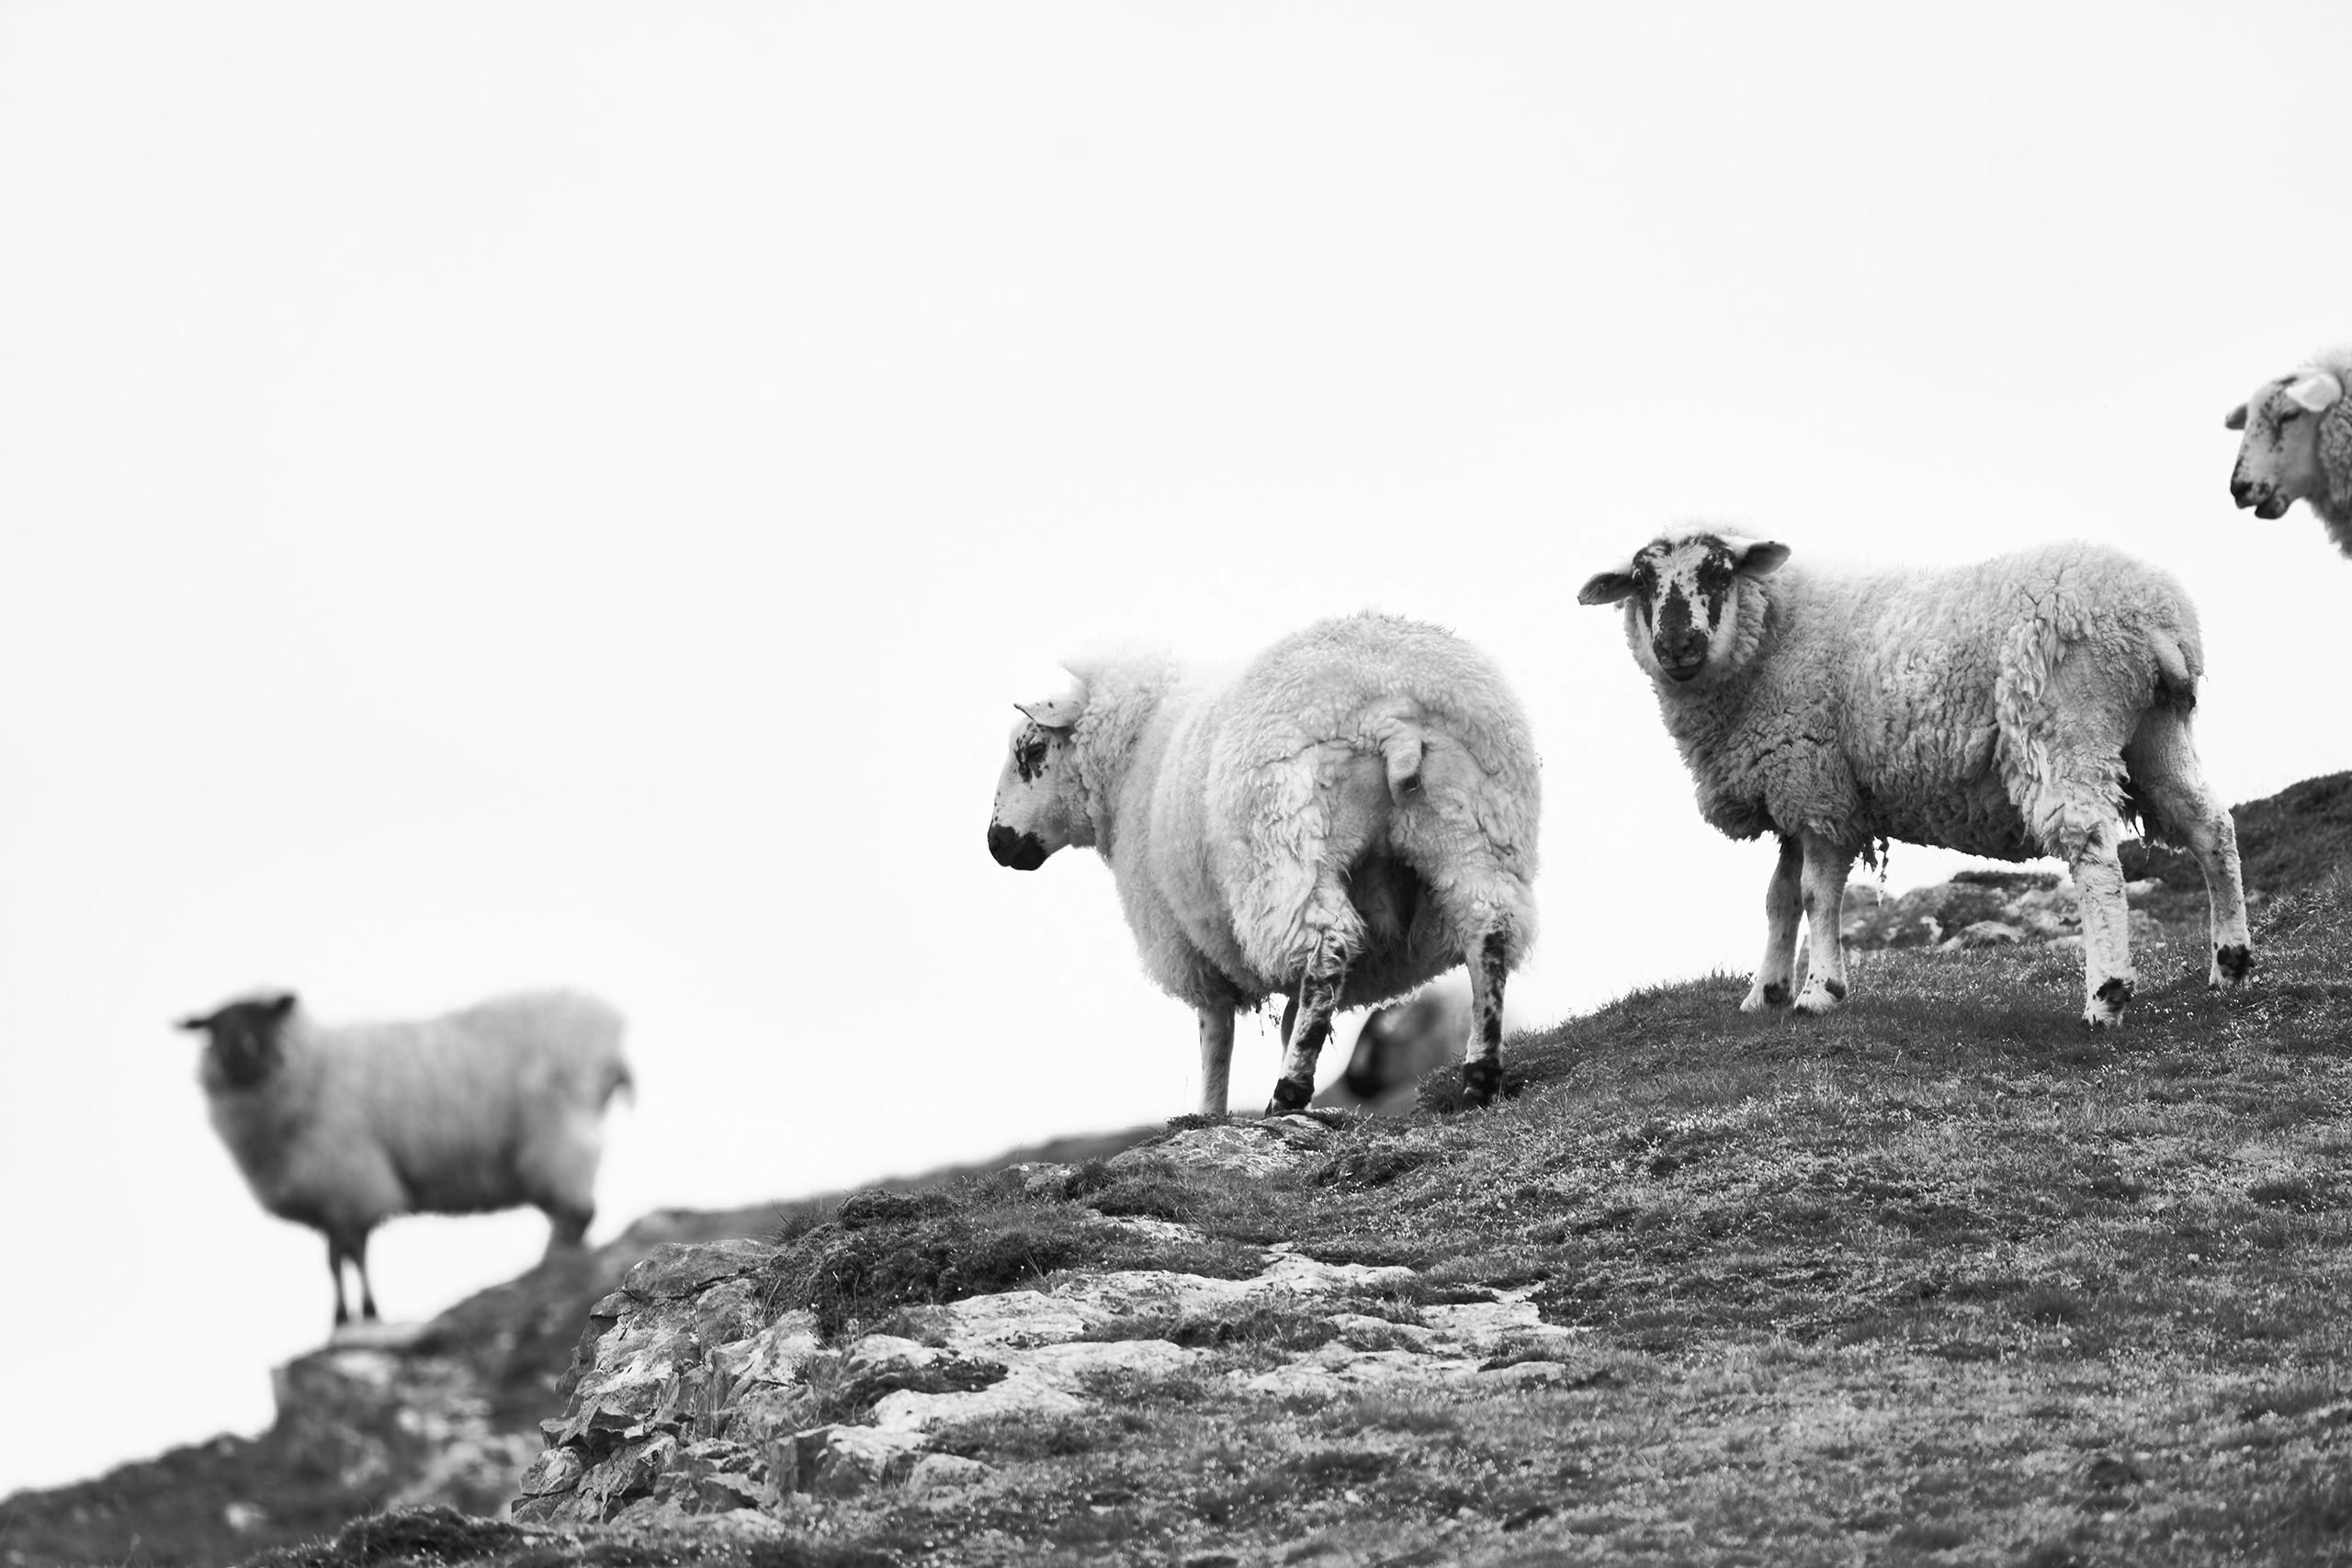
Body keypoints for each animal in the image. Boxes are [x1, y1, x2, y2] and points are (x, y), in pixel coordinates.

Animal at [176, 987, 635, 1335]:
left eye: (263, 1019)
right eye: (212, 1028)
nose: (240, 1056)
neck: (314, 1071)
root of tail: (610, 1023)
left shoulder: (352, 1182)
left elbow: (353, 1255)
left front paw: (363, 1314)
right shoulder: (330, 1198)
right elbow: (334, 1261)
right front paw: (342, 1318)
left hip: (558, 1133)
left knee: (578, 1212)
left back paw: (550, 1268)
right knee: (571, 1214)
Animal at [978, 611, 1543, 1114]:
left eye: (1031, 752)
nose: (995, 843)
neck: (1137, 749)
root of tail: (1390, 714)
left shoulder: (1193, 951)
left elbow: (1215, 1036)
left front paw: (1210, 1114)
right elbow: (1290, 1014)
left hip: (1286, 851)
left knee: (1327, 946)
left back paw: (1287, 1093)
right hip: (1474, 829)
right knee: (1487, 928)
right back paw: (1480, 1077)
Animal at [1571, 531, 2248, 1029]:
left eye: (1717, 572)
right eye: (1642, 582)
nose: (1676, 644)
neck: (1772, 636)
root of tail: (2160, 620)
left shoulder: (1817, 785)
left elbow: (1816, 895)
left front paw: (1818, 992)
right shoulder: (1792, 787)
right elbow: (1778, 897)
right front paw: (1764, 992)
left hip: (2065, 725)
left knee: (2096, 852)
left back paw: (2105, 996)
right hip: (2155, 731)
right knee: (2210, 826)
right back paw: (2231, 964)